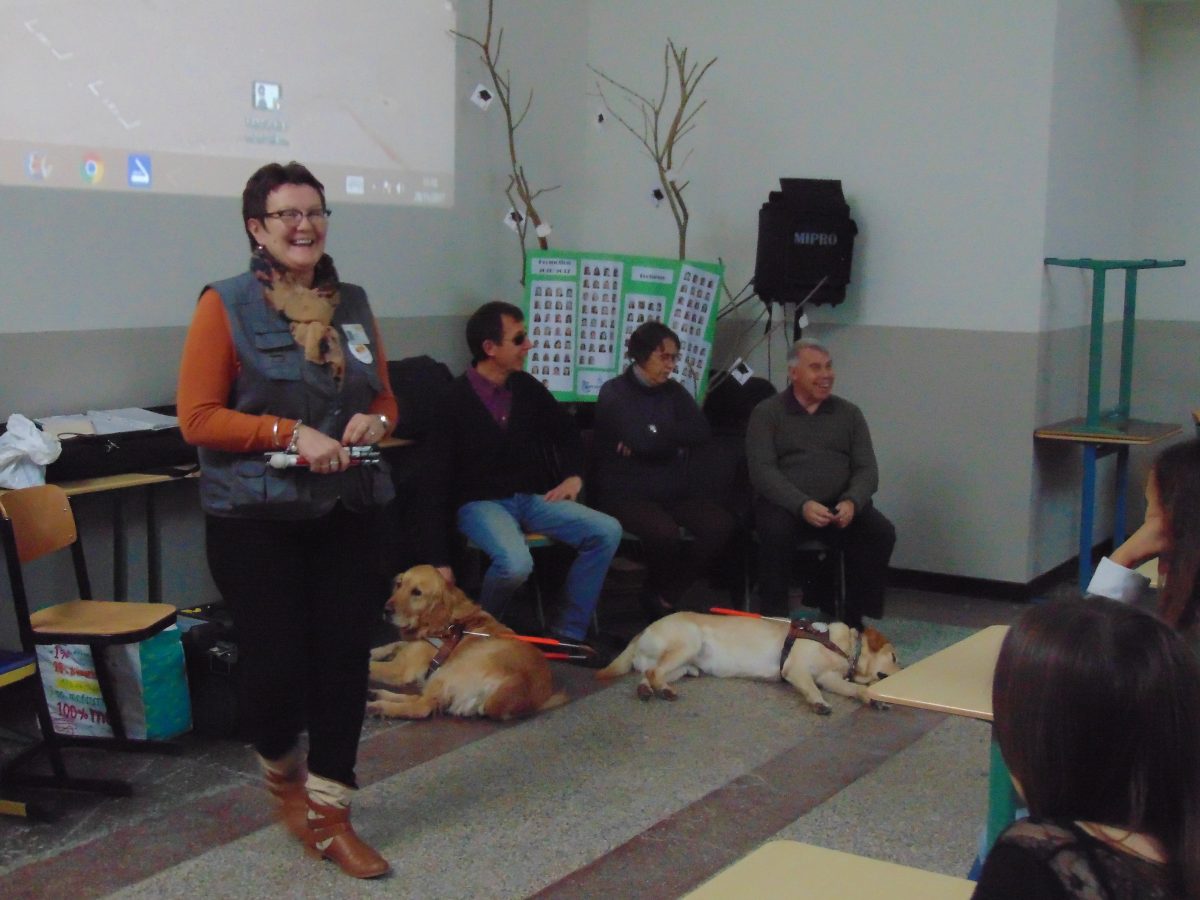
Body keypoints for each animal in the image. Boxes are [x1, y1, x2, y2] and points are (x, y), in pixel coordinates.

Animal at [367, 565, 568, 720]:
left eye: (417, 592)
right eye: (399, 584)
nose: (386, 610)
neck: (448, 622)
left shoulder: (399, 669)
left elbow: (375, 664)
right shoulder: (410, 647)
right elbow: (393, 644)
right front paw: (374, 651)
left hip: (449, 670)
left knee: (423, 707)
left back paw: (380, 706)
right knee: (423, 700)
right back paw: (377, 695)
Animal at [596, 612, 901, 714]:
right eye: (895, 657)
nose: (904, 671)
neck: (842, 647)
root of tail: (643, 630)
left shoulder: (830, 678)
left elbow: (858, 689)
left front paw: (873, 698)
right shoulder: (797, 670)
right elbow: (811, 688)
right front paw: (819, 703)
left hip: (682, 666)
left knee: (647, 672)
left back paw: (648, 689)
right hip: (689, 643)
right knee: (653, 670)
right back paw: (664, 691)